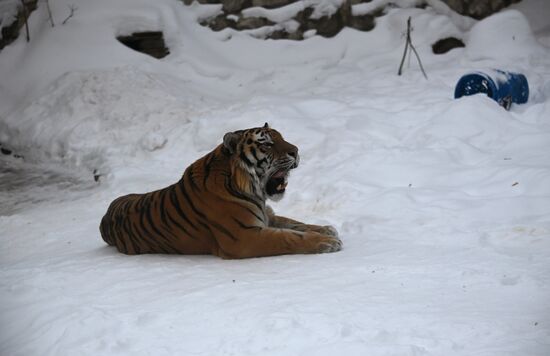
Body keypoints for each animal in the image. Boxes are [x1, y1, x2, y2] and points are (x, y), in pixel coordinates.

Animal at [98, 122, 340, 258]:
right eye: (267, 144)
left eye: (282, 137)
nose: (296, 151)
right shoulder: (244, 237)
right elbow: (288, 237)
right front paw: (327, 242)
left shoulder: (267, 216)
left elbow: (295, 224)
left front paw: (326, 229)